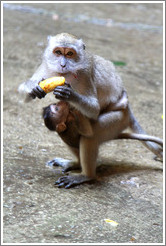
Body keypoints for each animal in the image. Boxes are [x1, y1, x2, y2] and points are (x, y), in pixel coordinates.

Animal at [18, 31, 162, 187]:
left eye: (70, 53)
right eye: (58, 52)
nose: (62, 64)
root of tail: (127, 110)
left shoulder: (85, 74)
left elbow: (93, 109)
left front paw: (70, 95)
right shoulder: (46, 66)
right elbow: (24, 96)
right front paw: (33, 87)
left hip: (118, 121)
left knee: (90, 137)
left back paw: (86, 176)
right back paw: (76, 163)